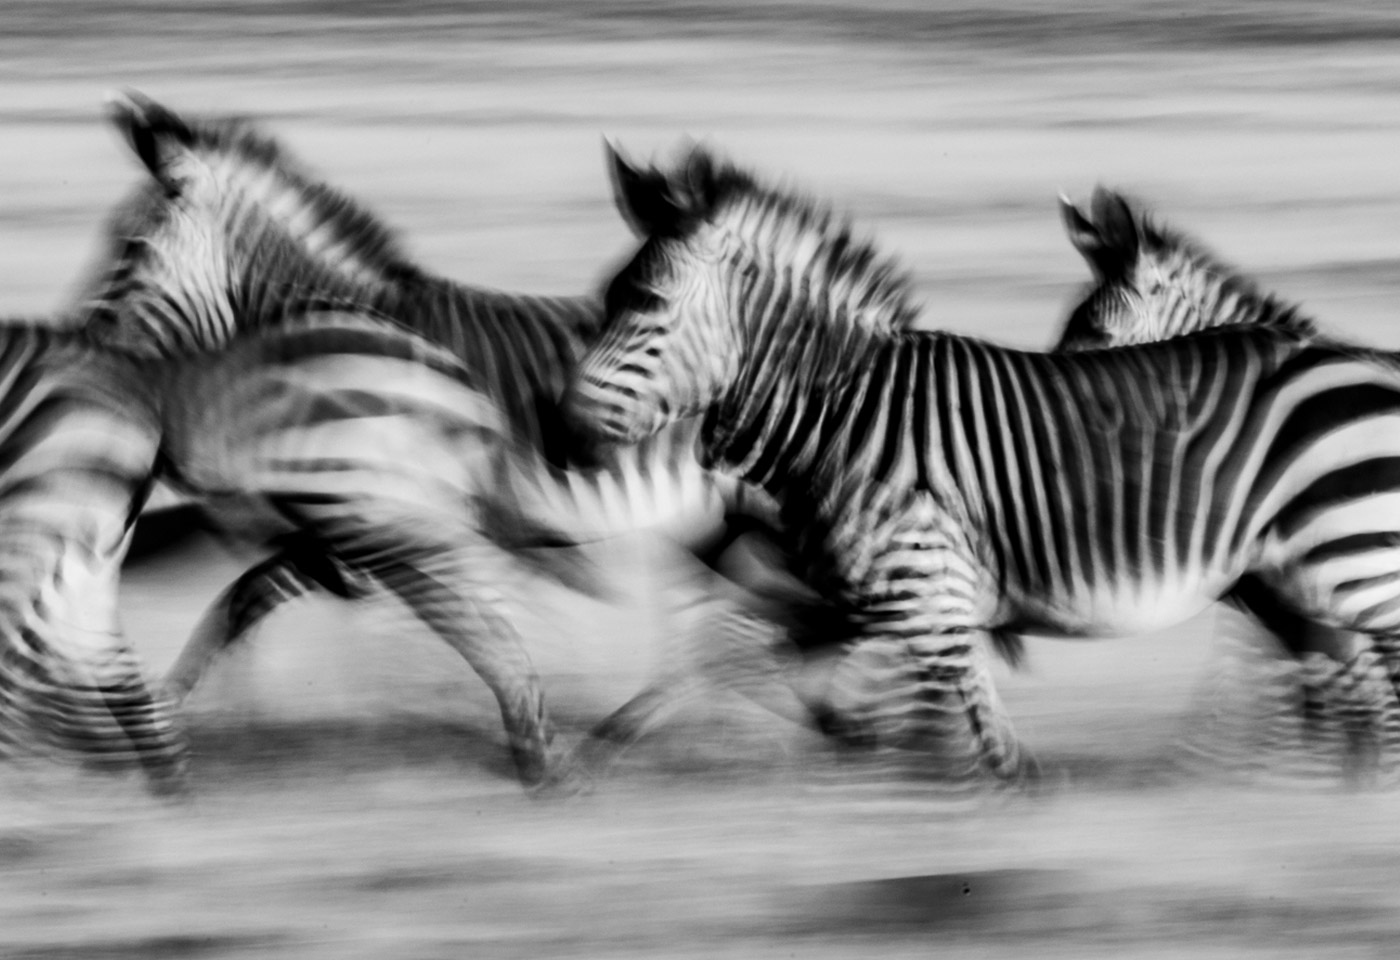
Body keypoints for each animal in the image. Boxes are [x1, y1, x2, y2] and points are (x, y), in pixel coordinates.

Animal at [76, 91, 844, 773]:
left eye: (128, 248)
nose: (85, 347)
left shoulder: (380, 523)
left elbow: (270, 601)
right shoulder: (347, 530)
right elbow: (242, 602)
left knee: (804, 625)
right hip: (733, 534)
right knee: (800, 628)